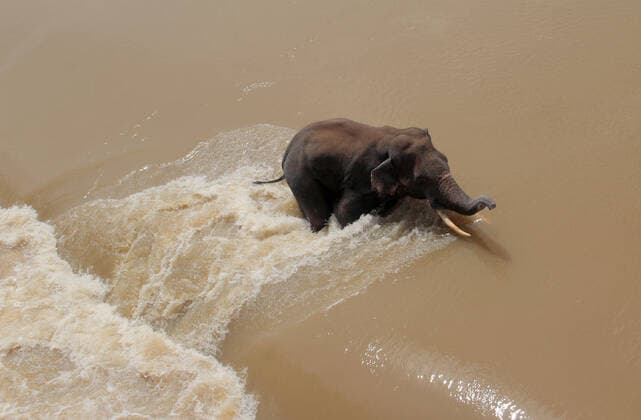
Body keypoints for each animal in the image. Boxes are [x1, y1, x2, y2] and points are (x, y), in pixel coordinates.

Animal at [254, 118, 496, 234]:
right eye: (421, 180)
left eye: (447, 160)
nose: (492, 204)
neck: (394, 136)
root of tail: (286, 153)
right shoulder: (361, 176)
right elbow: (344, 212)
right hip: (301, 176)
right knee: (319, 214)